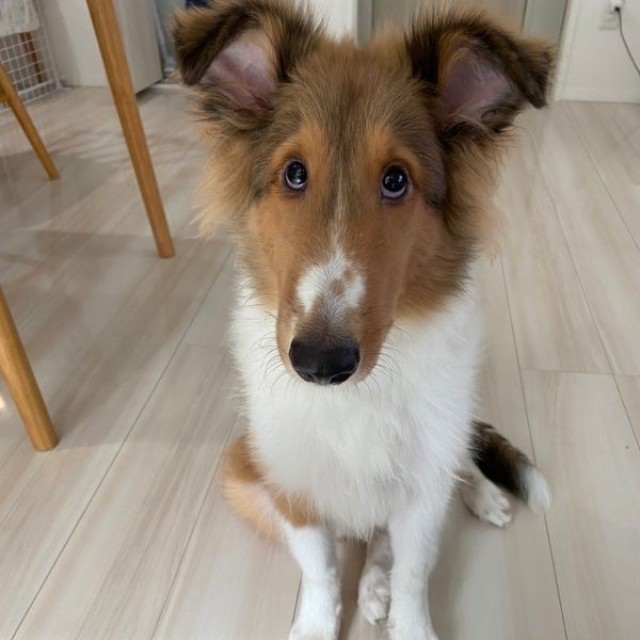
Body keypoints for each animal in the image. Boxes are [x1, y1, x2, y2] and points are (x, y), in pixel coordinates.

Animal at [174, 2, 554, 638]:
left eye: (396, 180)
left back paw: (478, 503)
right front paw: (316, 624)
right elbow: (321, 569)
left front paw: (410, 623)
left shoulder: (422, 495)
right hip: (241, 474)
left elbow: (413, 574)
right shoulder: (287, 482)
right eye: (294, 173)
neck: (355, 398)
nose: (321, 363)